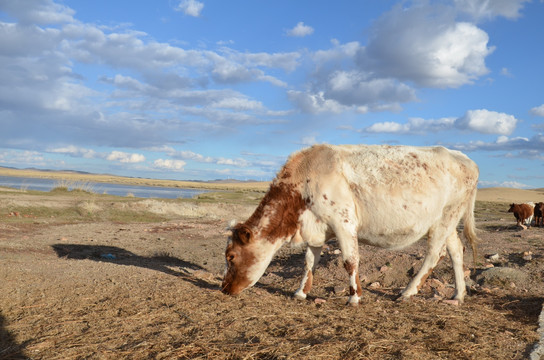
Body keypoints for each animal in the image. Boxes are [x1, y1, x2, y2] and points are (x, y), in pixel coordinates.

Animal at [221, 145, 480, 306]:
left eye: (231, 256)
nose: (224, 288)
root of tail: (466, 160)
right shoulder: (316, 227)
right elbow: (309, 261)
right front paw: (301, 292)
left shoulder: (343, 221)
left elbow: (349, 260)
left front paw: (354, 297)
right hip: (447, 220)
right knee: (456, 250)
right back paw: (458, 294)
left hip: (446, 217)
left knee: (435, 253)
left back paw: (407, 292)